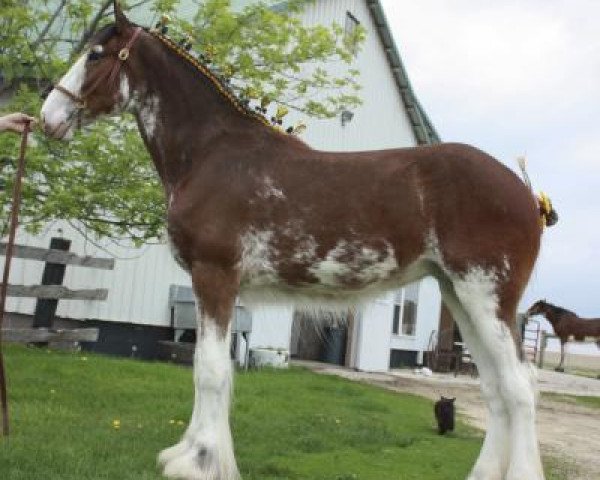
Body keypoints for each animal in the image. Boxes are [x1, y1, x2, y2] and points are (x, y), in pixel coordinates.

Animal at [39, 3, 552, 480]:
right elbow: (210, 368)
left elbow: (210, 371)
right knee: (496, 389)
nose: (48, 117)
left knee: (519, 387)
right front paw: (191, 454)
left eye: (96, 54)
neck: (212, 153)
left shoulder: (214, 276)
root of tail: (528, 194)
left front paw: (200, 461)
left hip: (485, 297)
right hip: (459, 295)